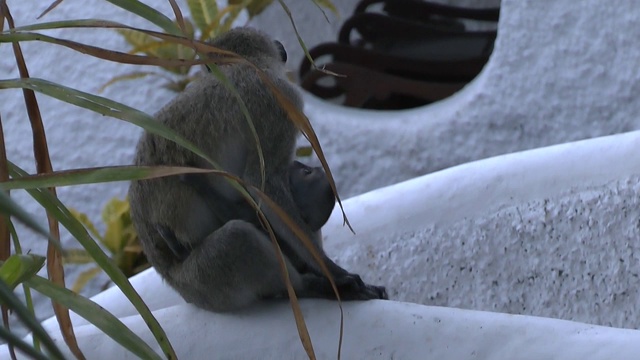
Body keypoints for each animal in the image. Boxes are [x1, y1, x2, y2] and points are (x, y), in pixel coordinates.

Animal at [127, 27, 382, 312]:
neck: (245, 66)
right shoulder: (281, 101)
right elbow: (264, 186)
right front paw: (335, 273)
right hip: (201, 283)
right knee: (238, 238)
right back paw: (309, 287)